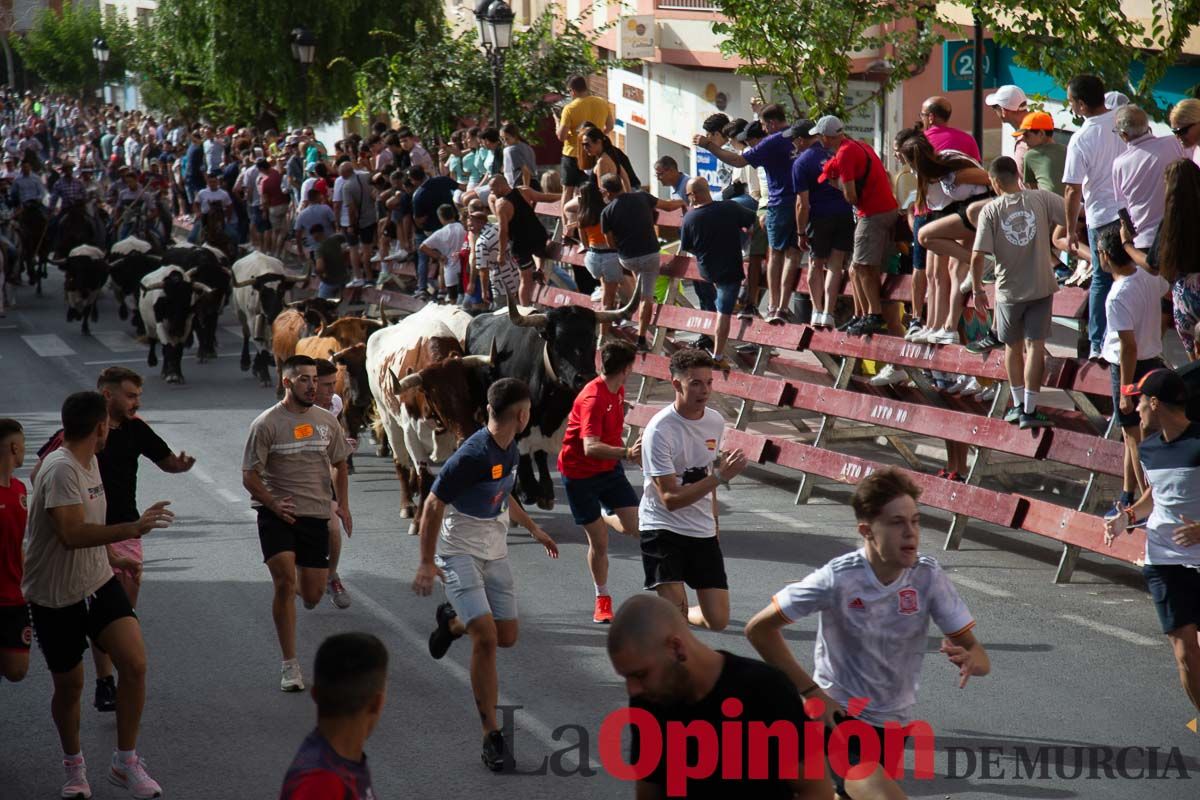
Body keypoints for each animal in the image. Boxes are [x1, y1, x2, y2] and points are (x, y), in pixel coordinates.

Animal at [463, 287, 643, 510]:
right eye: (557, 341)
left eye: (593, 338)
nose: (585, 378)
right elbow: (520, 453)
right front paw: (527, 489)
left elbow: (541, 453)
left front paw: (544, 491)